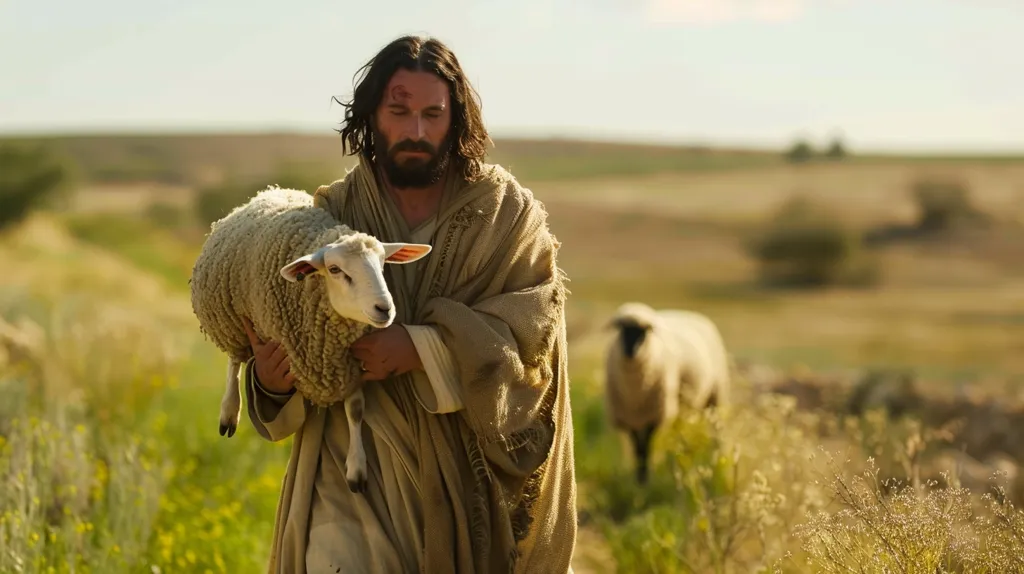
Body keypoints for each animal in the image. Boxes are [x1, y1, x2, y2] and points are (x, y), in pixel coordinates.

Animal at [189, 185, 431, 493]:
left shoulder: (348, 366)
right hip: (229, 317)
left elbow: (355, 410)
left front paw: (356, 469)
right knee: (235, 360)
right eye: (336, 270)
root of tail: (273, 190)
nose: (384, 308)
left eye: (382, 265)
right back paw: (229, 411)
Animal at [603, 301, 731, 485]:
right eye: (622, 328)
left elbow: (646, 447)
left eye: (645, 331)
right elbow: (637, 448)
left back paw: (719, 459)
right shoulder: (627, 417)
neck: (635, 393)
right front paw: (639, 478)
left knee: (718, 430)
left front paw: (644, 479)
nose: (631, 351)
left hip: (716, 394)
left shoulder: (655, 415)